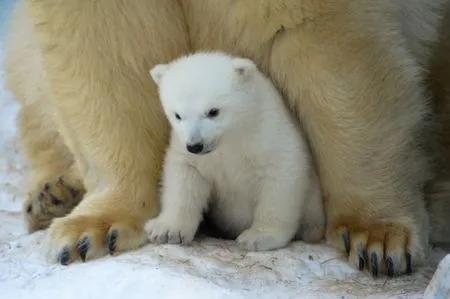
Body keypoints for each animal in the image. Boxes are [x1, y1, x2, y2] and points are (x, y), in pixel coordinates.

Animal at [6, 0, 450, 278]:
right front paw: (90, 233)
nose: (196, 143)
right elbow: (101, 46)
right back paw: (52, 196)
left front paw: (378, 238)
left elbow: (328, 45)